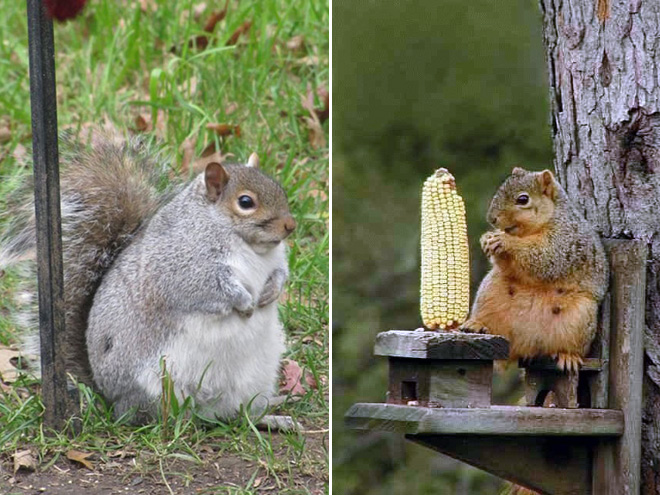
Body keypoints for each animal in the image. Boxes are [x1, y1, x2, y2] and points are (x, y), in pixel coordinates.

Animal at [0, 134, 294, 424]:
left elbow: (280, 272)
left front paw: (272, 291)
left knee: (238, 414)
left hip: (256, 377)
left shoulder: (275, 260)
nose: (290, 226)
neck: (250, 245)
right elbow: (210, 289)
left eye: (279, 188)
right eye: (246, 202)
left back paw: (270, 418)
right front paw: (245, 303)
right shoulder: (183, 267)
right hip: (157, 385)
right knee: (159, 416)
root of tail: (110, 398)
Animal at [458, 167, 608, 372]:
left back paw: (568, 356)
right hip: (490, 294)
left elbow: (544, 256)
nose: (492, 219)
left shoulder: (565, 241)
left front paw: (505, 241)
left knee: (571, 346)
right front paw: (486, 239)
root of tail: (525, 345)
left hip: (580, 316)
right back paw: (476, 324)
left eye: (523, 199)